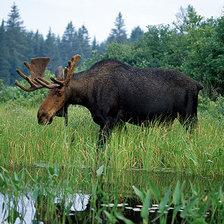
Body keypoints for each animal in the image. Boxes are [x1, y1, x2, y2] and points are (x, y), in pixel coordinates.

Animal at [14, 55, 203, 148]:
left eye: (59, 92)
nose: (41, 115)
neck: (87, 96)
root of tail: (198, 85)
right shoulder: (119, 123)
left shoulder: (108, 122)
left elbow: (100, 150)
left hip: (189, 117)